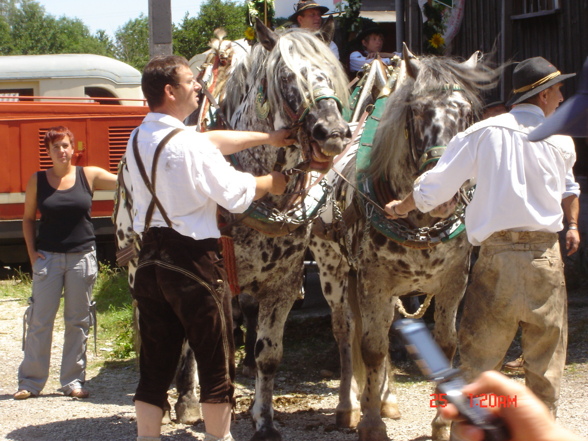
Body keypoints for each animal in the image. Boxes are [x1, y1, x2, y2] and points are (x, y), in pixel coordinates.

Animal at [308, 45, 500, 440]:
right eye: (417, 111)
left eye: (467, 114)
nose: (442, 192)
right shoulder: (374, 283)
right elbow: (372, 348)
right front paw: (369, 423)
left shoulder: (453, 283)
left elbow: (444, 345)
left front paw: (443, 422)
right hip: (334, 271)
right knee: (346, 332)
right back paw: (348, 406)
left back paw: (387, 399)